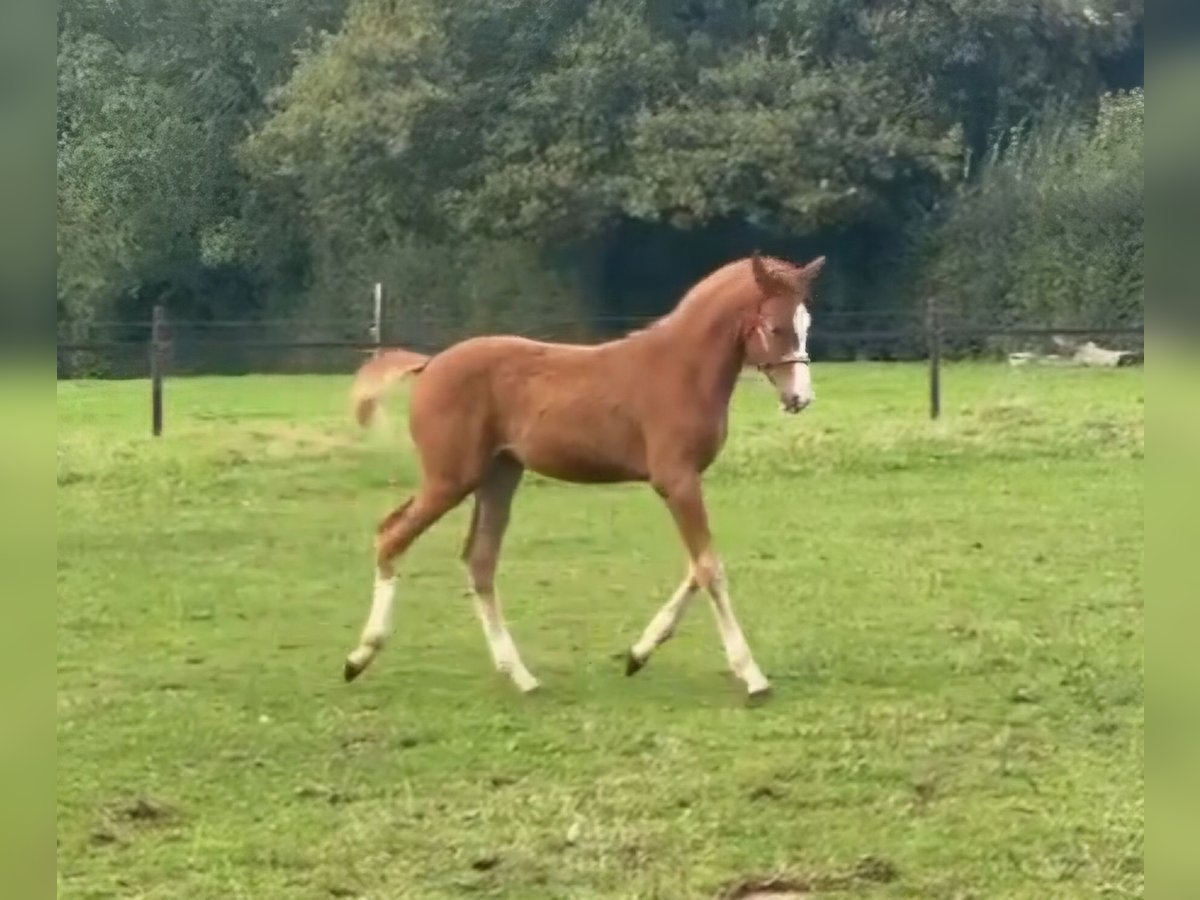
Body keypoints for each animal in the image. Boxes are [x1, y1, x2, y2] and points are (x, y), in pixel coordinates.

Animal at [343, 250, 820, 700]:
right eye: (776, 326)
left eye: (806, 321)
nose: (801, 398)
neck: (681, 369)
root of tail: (428, 364)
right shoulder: (677, 480)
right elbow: (709, 568)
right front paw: (753, 677)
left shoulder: (685, 482)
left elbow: (699, 564)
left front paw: (637, 654)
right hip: (451, 479)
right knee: (393, 537)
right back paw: (358, 657)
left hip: (498, 476)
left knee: (478, 560)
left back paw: (520, 676)